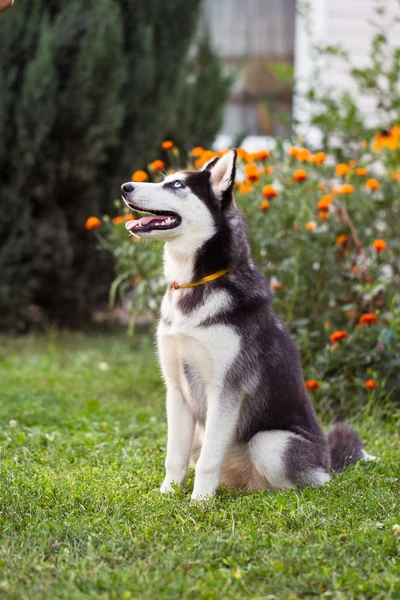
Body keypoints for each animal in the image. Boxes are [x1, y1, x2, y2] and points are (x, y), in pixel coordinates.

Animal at [120, 150, 374, 502]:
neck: (196, 283)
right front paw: (168, 494)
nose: (125, 186)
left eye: (176, 185)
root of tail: (326, 460)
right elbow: (174, 456)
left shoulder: (226, 389)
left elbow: (208, 461)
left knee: (311, 482)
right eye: (164, 180)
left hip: (270, 442)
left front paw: (199, 502)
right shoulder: (176, 389)